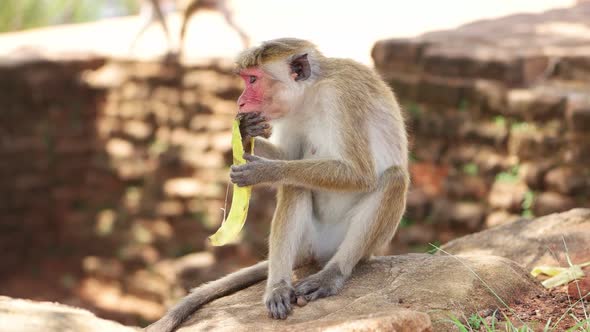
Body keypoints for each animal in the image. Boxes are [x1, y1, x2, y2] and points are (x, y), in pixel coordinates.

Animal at [146, 37, 410, 332]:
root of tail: (316, 256)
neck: (311, 93)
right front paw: (246, 131)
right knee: (295, 185)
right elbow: (291, 157)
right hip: (308, 240)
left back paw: (333, 273)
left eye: (252, 79)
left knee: (393, 179)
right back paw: (278, 286)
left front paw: (265, 170)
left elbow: (361, 174)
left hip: (365, 246)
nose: (240, 102)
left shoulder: (342, 97)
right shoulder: (292, 113)